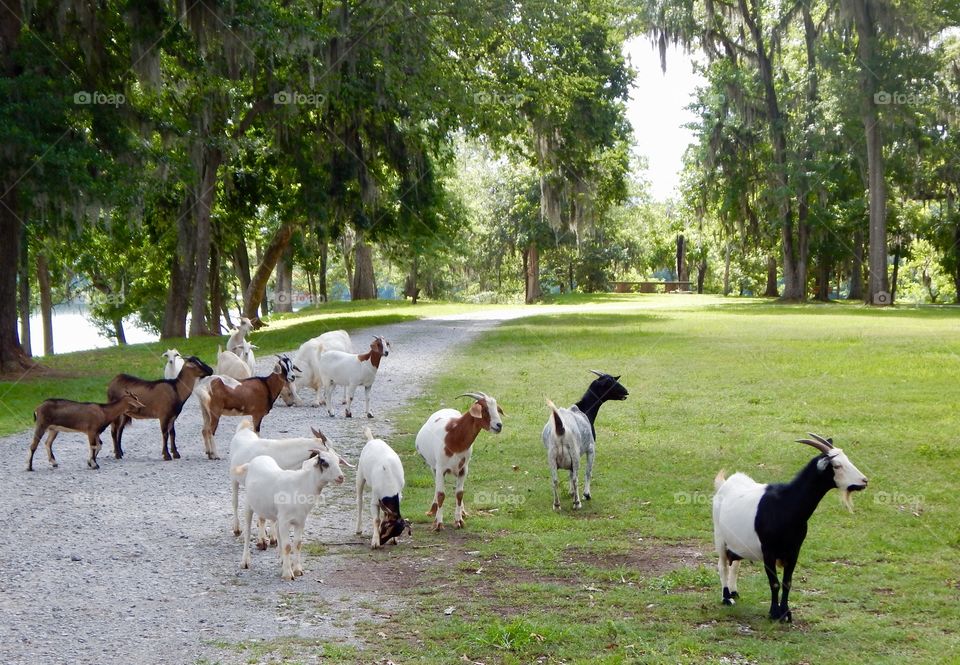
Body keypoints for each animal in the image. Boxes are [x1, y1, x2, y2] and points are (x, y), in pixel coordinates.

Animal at [235, 450, 345, 580]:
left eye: (338, 461)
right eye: (325, 463)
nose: (341, 477)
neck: (300, 486)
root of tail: (252, 463)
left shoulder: (300, 521)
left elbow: (297, 544)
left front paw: (297, 570)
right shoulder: (285, 521)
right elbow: (287, 546)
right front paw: (288, 574)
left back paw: (282, 561)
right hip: (248, 505)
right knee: (247, 534)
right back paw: (245, 562)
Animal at [415, 392, 503, 530]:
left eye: (496, 408)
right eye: (484, 409)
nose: (499, 425)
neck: (454, 435)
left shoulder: (463, 469)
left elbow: (459, 494)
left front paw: (459, 520)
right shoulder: (440, 469)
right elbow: (441, 494)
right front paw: (438, 523)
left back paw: (463, 512)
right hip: (433, 467)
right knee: (436, 487)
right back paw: (433, 510)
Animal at [542, 370, 629, 510]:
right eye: (612, 382)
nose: (626, 392)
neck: (584, 410)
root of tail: (560, 428)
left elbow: (569, 473)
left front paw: (571, 493)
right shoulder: (591, 448)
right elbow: (588, 472)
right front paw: (586, 494)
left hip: (551, 456)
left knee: (555, 479)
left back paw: (557, 505)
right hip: (575, 454)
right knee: (576, 478)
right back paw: (577, 503)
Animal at [712, 433, 869, 622]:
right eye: (837, 465)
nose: (864, 481)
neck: (786, 505)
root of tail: (725, 483)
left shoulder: (794, 550)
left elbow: (787, 583)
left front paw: (786, 613)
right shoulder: (768, 551)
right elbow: (774, 583)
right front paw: (774, 613)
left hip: (738, 540)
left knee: (735, 563)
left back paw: (734, 592)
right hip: (719, 535)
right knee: (722, 564)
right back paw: (726, 598)